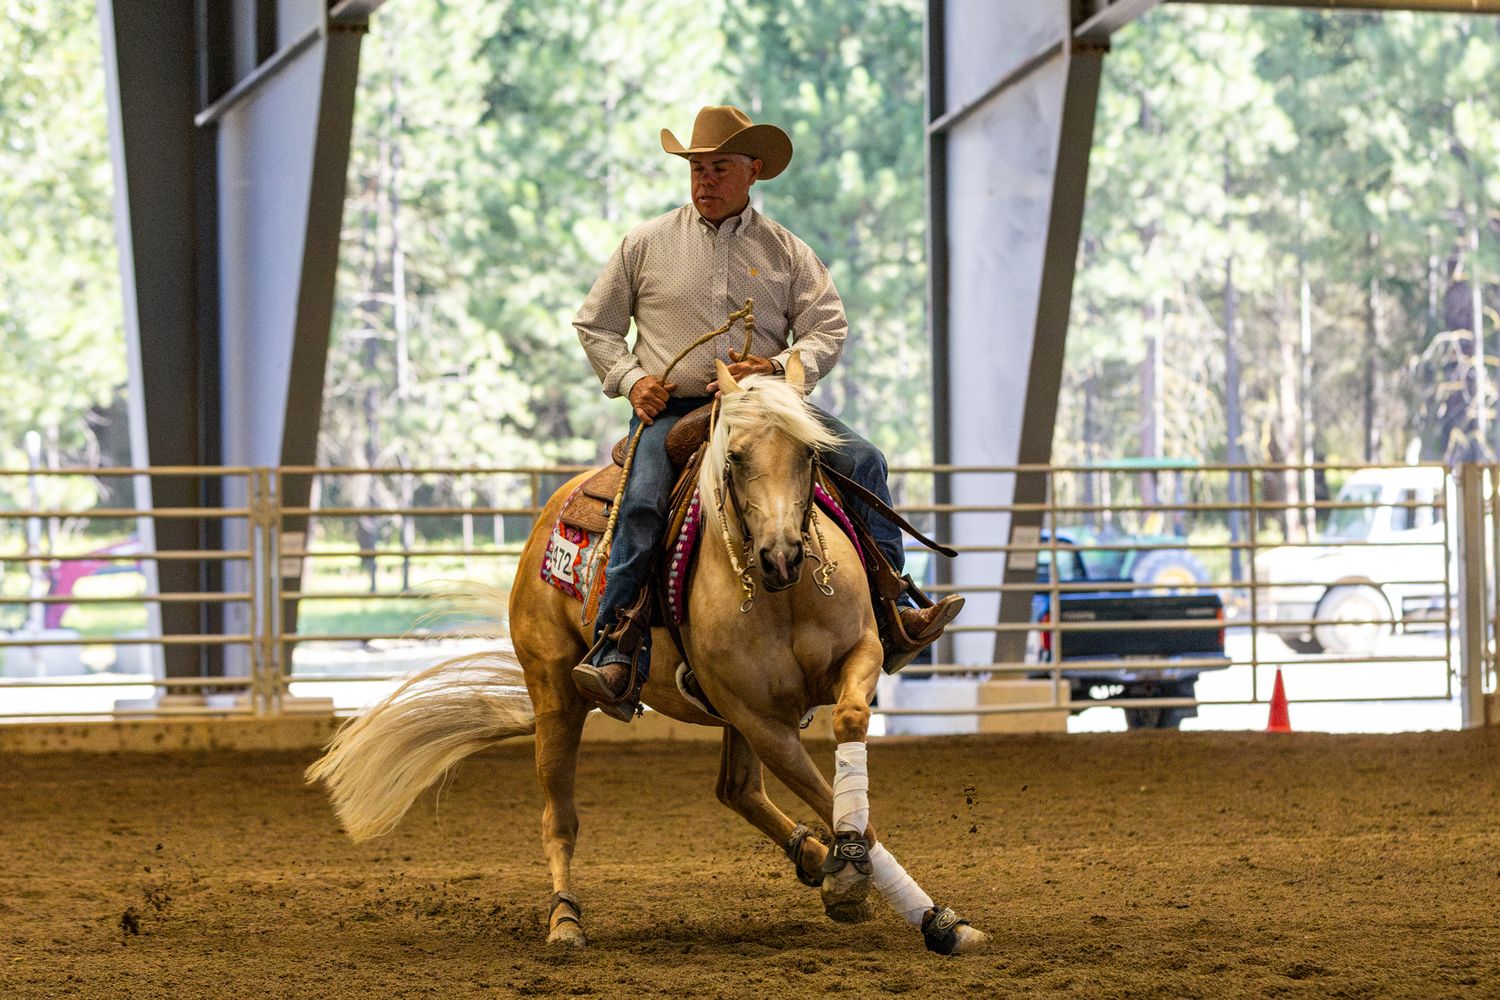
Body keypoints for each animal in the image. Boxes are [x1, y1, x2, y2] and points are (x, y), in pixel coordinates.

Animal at [306, 354, 987, 956]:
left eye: (811, 455)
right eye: (734, 457)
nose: (781, 556)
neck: (783, 598)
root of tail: (543, 525)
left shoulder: (853, 660)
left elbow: (848, 726)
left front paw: (930, 915)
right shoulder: (761, 720)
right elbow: (843, 809)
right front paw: (853, 877)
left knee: (737, 790)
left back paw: (813, 856)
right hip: (559, 697)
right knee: (561, 817)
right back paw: (565, 922)